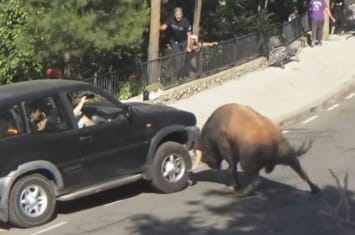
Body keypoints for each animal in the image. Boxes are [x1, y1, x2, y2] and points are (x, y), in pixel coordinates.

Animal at [193, 103, 322, 196]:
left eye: (204, 157)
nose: (214, 167)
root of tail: (273, 141)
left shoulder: (224, 145)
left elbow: (232, 167)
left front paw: (234, 185)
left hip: (247, 164)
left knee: (255, 179)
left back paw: (243, 192)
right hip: (289, 157)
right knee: (301, 171)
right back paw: (315, 188)